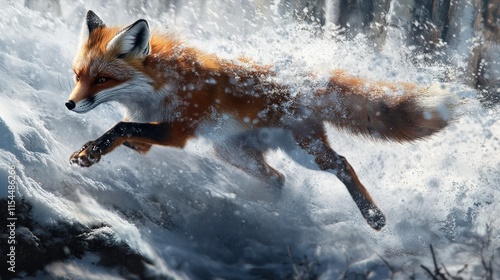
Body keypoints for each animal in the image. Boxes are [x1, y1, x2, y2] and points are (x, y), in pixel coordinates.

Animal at [67, 10, 458, 230]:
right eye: (78, 75)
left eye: (102, 79)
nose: (69, 105)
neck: (161, 85)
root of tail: (305, 82)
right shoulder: (152, 133)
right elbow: (124, 132)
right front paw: (93, 149)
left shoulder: (179, 131)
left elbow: (120, 127)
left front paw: (90, 151)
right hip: (232, 153)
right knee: (278, 179)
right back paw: (263, 207)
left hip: (306, 152)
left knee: (343, 164)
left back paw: (373, 217)